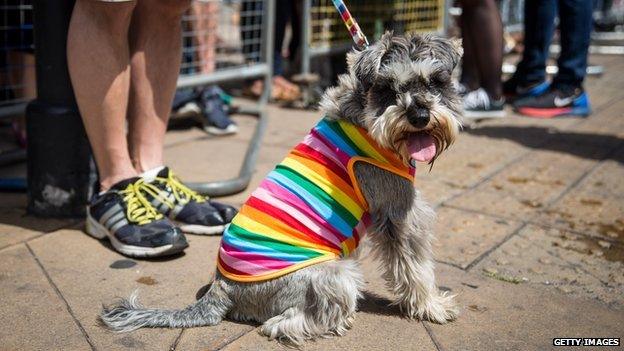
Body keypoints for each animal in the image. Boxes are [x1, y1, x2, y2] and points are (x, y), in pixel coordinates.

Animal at [100, 33, 464, 346]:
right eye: (387, 88)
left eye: (435, 81)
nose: (419, 115)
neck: (367, 118)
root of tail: (222, 288)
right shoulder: (399, 213)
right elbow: (415, 268)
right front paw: (433, 307)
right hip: (336, 273)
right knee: (287, 321)